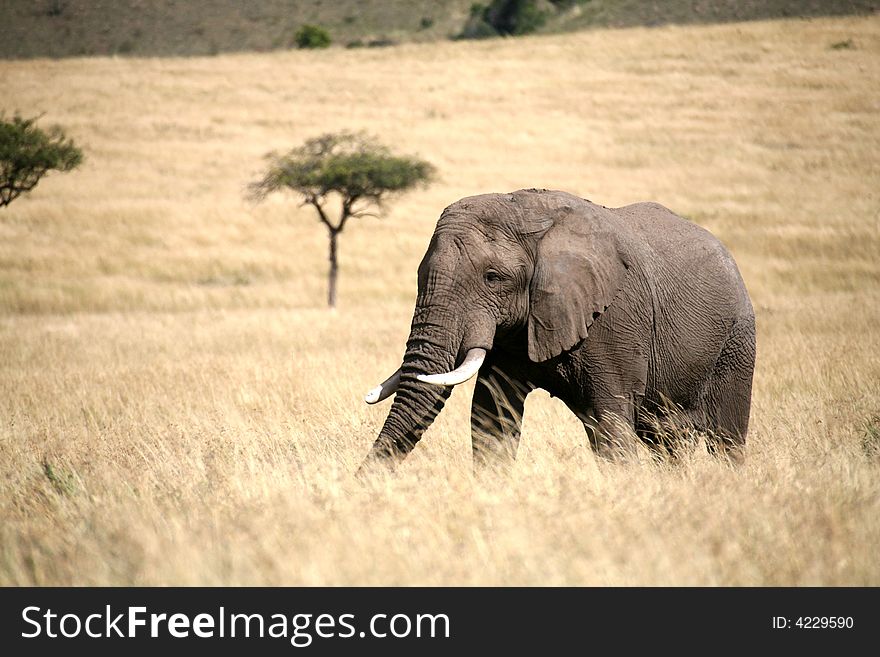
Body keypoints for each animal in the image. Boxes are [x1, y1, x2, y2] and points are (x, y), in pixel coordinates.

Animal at [360, 187, 756, 468]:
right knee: (666, 441)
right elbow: (490, 418)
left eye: (493, 278)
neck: (527, 214)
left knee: (725, 438)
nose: (361, 482)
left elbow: (611, 425)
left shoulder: (616, 317)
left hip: (737, 340)